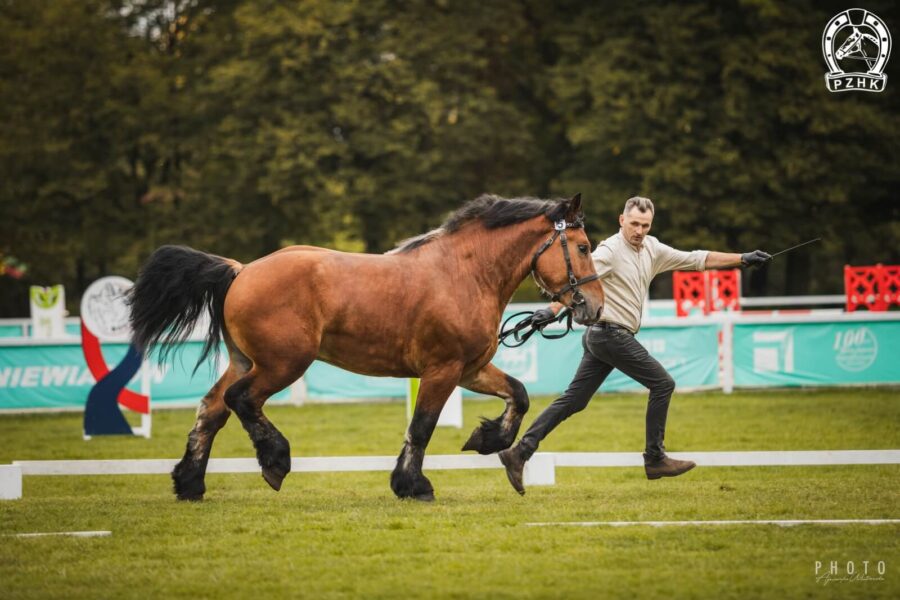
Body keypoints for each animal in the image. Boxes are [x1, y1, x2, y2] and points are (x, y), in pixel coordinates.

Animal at [128, 193, 604, 502]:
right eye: (582, 247)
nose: (594, 306)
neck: (464, 274)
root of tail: (241, 271)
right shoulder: (442, 370)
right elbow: (422, 427)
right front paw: (413, 486)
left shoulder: (471, 369)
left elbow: (518, 396)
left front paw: (486, 439)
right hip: (283, 364)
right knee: (240, 399)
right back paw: (274, 461)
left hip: (246, 360)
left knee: (211, 409)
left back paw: (190, 484)